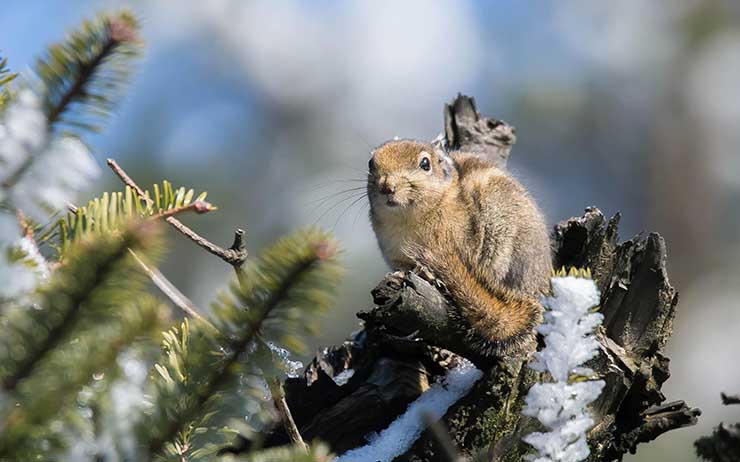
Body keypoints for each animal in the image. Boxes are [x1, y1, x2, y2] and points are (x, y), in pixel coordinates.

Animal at [368, 139, 552, 356]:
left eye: (425, 164)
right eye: (371, 164)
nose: (387, 187)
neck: (408, 220)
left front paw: (428, 274)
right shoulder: (396, 255)